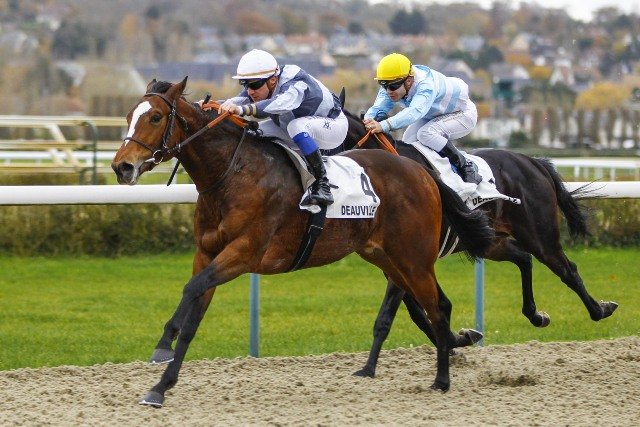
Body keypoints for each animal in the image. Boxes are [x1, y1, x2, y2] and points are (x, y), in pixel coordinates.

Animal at [111, 77, 496, 407]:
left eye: (156, 117)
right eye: (129, 116)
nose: (121, 167)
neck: (234, 174)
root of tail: (423, 172)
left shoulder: (244, 253)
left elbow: (191, 289)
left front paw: (163, 345)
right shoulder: (207, 254)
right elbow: (193, 317)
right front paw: (161, 386)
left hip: (413, 258)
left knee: (437, 308)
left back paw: (442, 379)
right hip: (387, 257)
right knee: (437, 304)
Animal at [340, 108, 619, 377]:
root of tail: (533, 161)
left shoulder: (409, 259)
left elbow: (406, 311)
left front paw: (370, 368)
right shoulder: (396, 265)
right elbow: (419, 311)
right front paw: (457, 340)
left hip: (540, 236)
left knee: (567, 269)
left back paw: (600, 309)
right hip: (492, 240)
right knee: (523, 258)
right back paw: (536, 315)